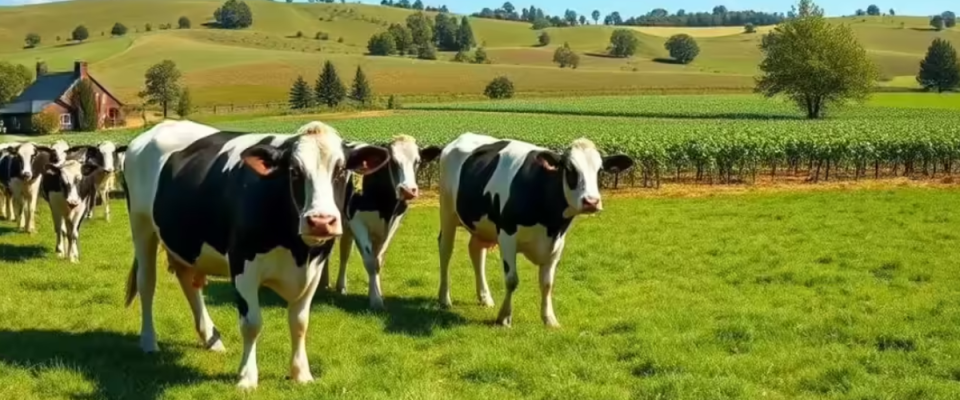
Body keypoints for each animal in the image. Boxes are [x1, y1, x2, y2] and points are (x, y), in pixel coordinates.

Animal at [121, 119, 390, 389]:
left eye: (342, 170)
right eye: (294, 171)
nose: (321, 221)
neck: (297, 250)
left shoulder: (314, 268)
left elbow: (300, 322)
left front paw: (301, 373)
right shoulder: (242, 264)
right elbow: (252, 324)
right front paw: (247, 377)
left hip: (184, 241)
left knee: (188, 282)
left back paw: (211, 338)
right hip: (141, 226)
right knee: (147, 284)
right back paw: (149, 341)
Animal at [317, 135, 442, 310]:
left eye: (418, 161)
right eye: (393, 161)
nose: (408, 190)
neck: (385, 206)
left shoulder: (392, 225)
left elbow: (378, 260)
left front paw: (376, 292)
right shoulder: (357, 222)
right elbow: (370, 261)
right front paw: (376, 300)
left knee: (344, 252)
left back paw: (339, 286)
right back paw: (323, 284)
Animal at [435, 133, 634, 328]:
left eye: (599, 170)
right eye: (570, 169)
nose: (591, 202)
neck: (549, 223)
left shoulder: (557, 242)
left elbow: (547, 283)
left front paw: (549, 319)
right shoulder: (507, 235)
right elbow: (511, 280)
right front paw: (504, 317)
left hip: (481, 226)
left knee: (476, 251)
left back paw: (485, 298)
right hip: (447, 212)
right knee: (446, 250)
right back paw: (444, 298)